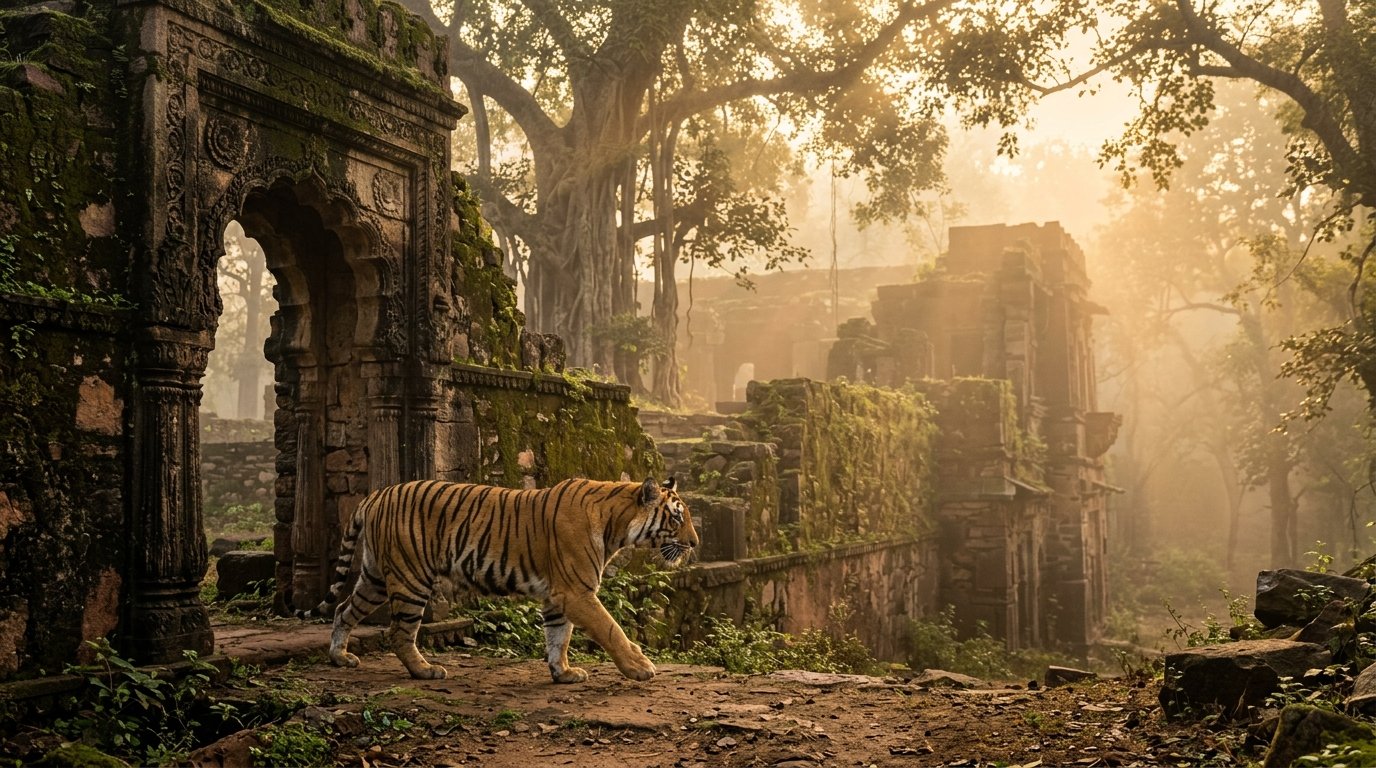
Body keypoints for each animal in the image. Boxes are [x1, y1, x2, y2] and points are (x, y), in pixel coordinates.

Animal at [296, 476, 697, 683]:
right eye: (677, 518)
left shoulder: (558, 597)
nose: (695, 543)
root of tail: (377, 493)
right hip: (411, 579)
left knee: (344, 610)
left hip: (376, 577)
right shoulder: (577, 592)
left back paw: (340, 658)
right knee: (399, 632)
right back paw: (425, 670)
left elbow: (558, 637)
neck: (617, 524)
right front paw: (640, 668)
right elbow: (610, 628)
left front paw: (563, 673)